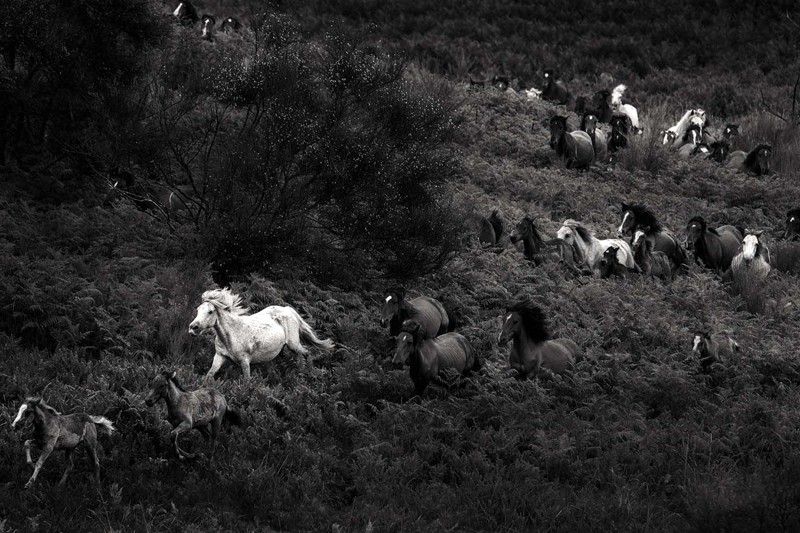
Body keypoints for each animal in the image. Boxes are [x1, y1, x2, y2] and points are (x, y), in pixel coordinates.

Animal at [190, 286, 334, 378]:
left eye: (210, 311)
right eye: (198, 310)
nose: (192, 328)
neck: (231, 334)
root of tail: (288, 309)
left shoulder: (245, 361)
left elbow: (246, 382)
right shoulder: (220, 356)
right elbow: (209, 376)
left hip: (294, 344)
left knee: (307, 353)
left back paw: (307, 373)